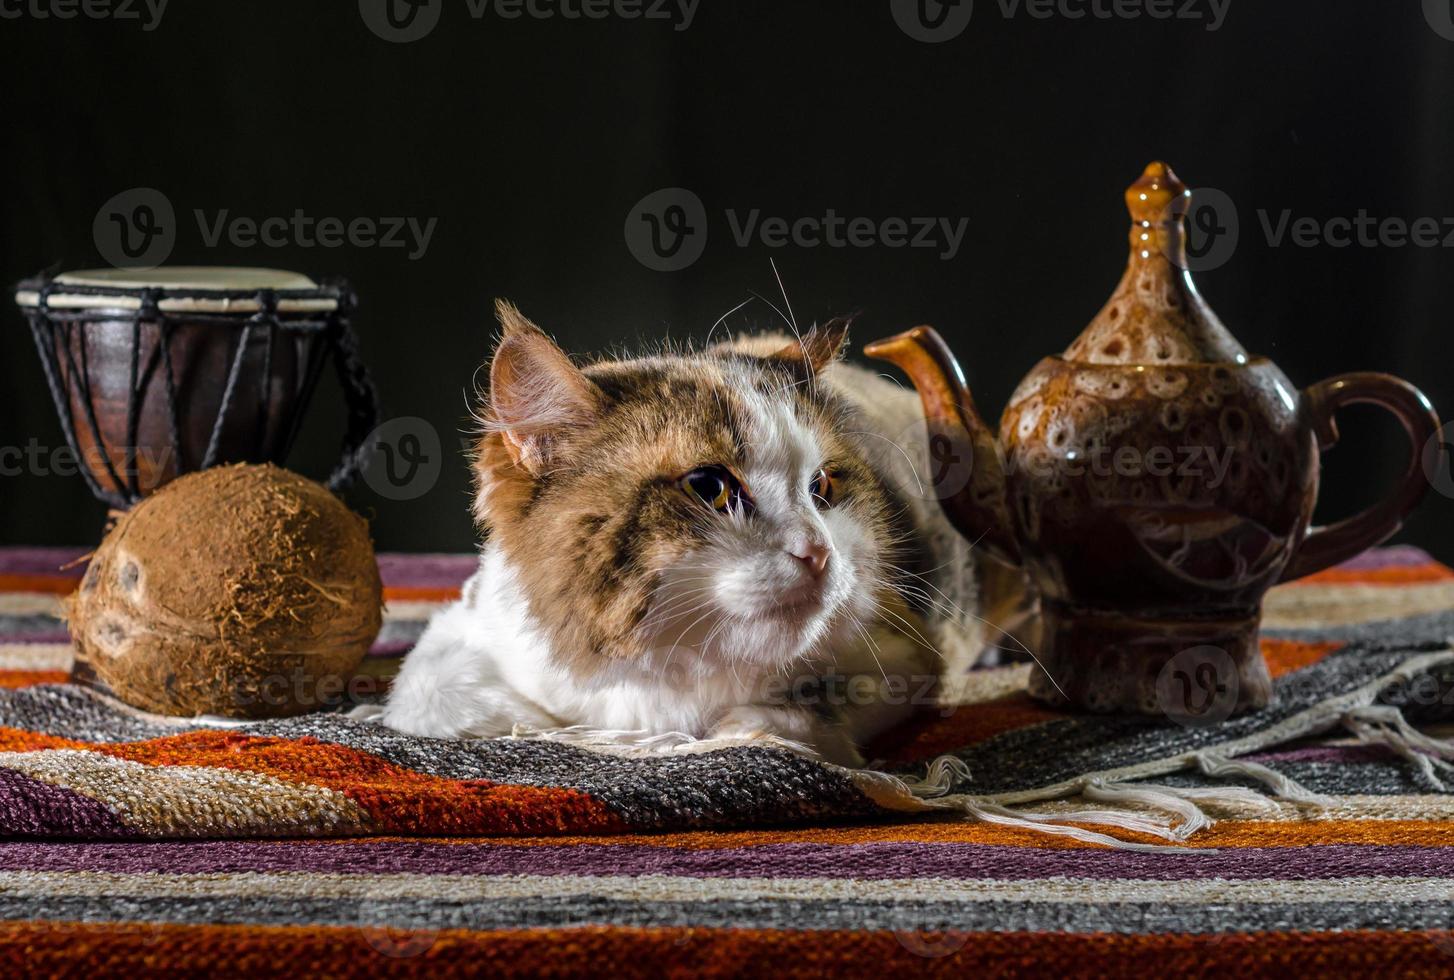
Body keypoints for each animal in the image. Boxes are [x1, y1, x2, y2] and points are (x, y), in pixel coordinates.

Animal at [378, 299, 988, 761]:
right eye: (710, 487)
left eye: (822, 488)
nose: (819, 552)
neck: (659, 671)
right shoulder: (458, 634)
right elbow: (441, 698)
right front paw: (556, 728)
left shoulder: (911, 654)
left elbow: (804, 710)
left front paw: (746, 725)